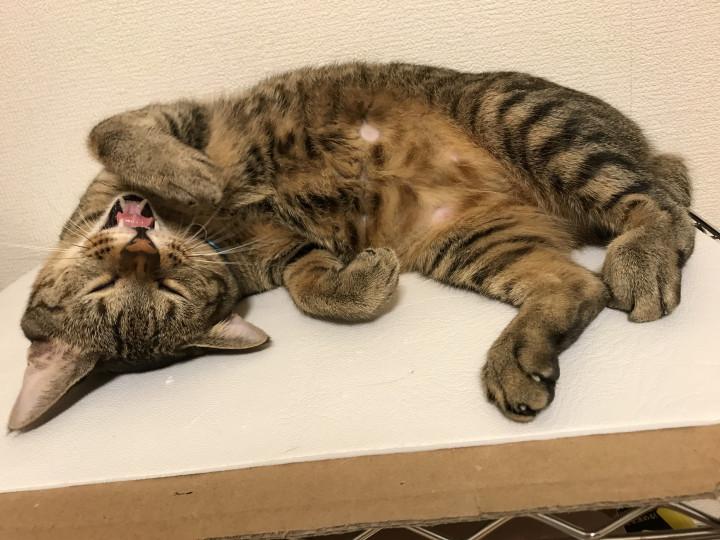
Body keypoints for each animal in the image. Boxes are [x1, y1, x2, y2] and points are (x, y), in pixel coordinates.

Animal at [8, 62, 695, 430]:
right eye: (110, 288)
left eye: (166, 286)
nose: (142, 250)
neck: (215, 236)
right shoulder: (291, 253)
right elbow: (309, 289)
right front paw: (364, 281)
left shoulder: (180, 116)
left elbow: (113, 130)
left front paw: (190, 175)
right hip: (470, 240)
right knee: (578, 282)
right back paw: (518, 359)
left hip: (530, 120)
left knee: (657, 192)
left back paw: (647, 253)